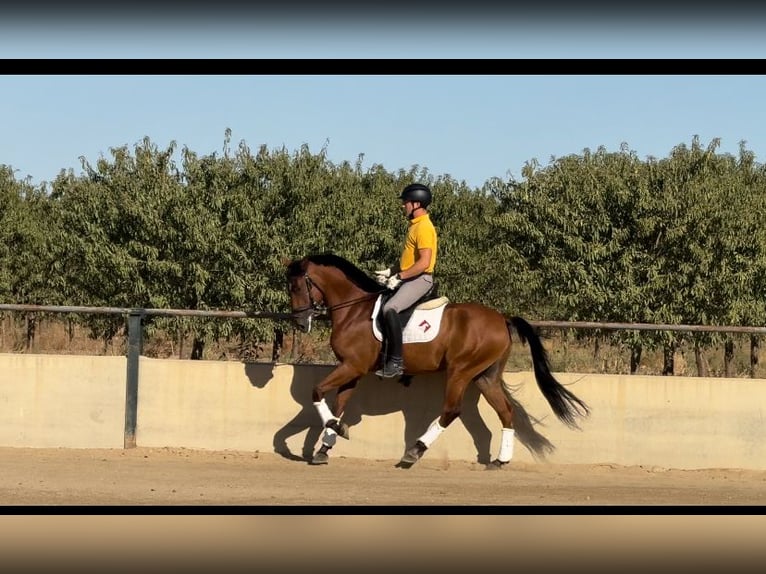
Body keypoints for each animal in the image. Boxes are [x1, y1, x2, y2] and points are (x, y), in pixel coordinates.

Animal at [284, 253, 590, 469]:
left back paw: (414, 452)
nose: (299, 323)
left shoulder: (352, 366)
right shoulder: (353, 370)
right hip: (485, 376)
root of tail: (502, 318)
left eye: (296, 286)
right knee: (505, 412)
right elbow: (338, 406)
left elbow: (317, 392)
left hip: (460, 371)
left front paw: (334, 431)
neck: (354, 310)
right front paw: (325, 447)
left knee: (451, 410)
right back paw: (500, 461)